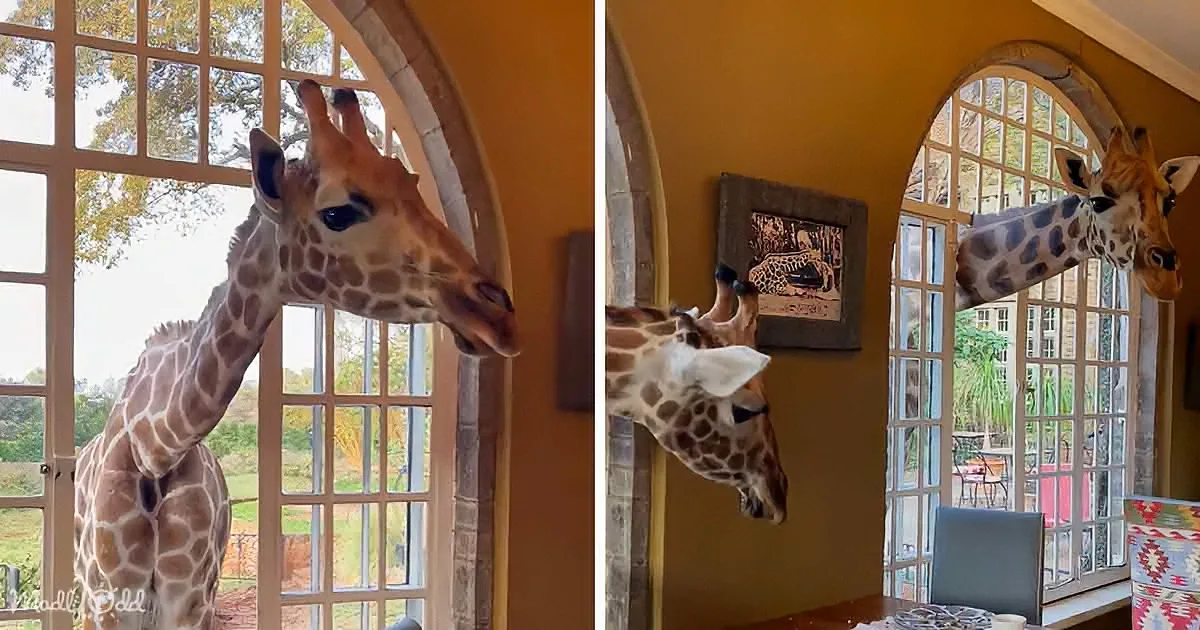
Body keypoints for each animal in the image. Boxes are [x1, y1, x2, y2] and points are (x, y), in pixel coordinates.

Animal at [71, 79, 519, 629]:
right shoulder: (109, 600)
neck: (155, 448)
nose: (497, 314)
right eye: (338, 211)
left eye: (414, 184)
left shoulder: (192, 598)